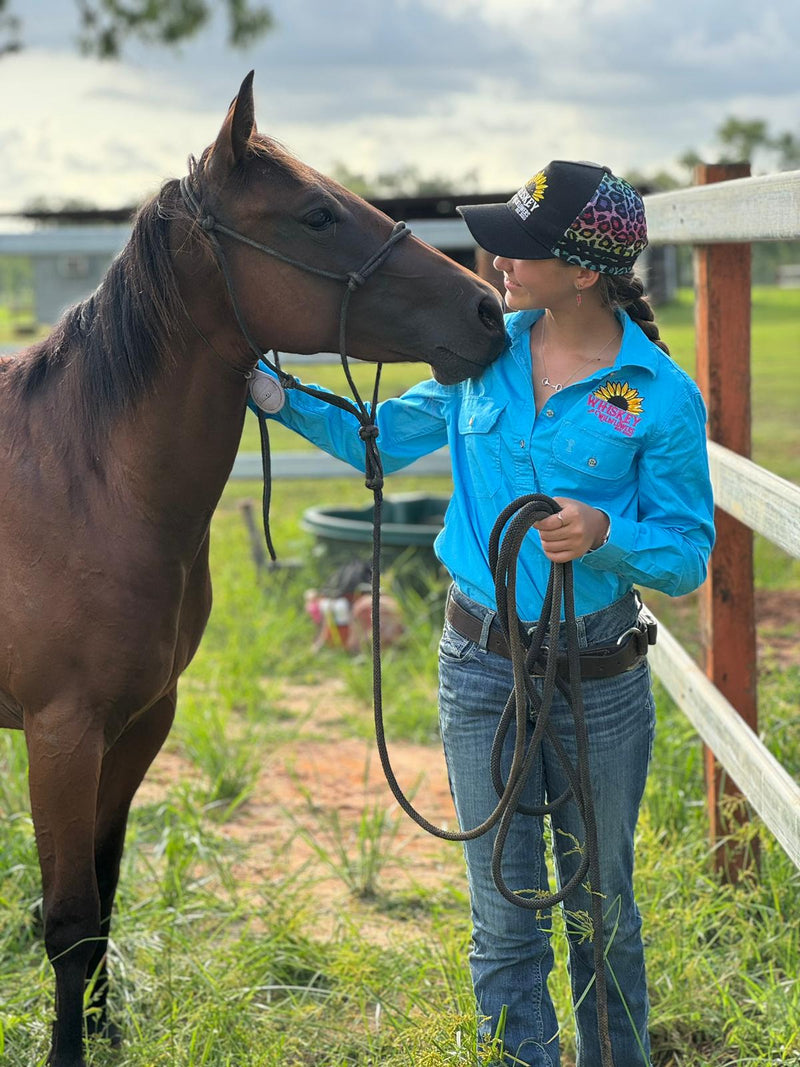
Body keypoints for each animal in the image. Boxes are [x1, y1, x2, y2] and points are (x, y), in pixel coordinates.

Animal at [0, 70, 503, 1062]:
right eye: (316, 214)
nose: (487, 310)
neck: (85, 483)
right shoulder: (61, 733)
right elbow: (68, 918)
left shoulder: (140, 721)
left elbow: (105, 896)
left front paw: (106, 1030)